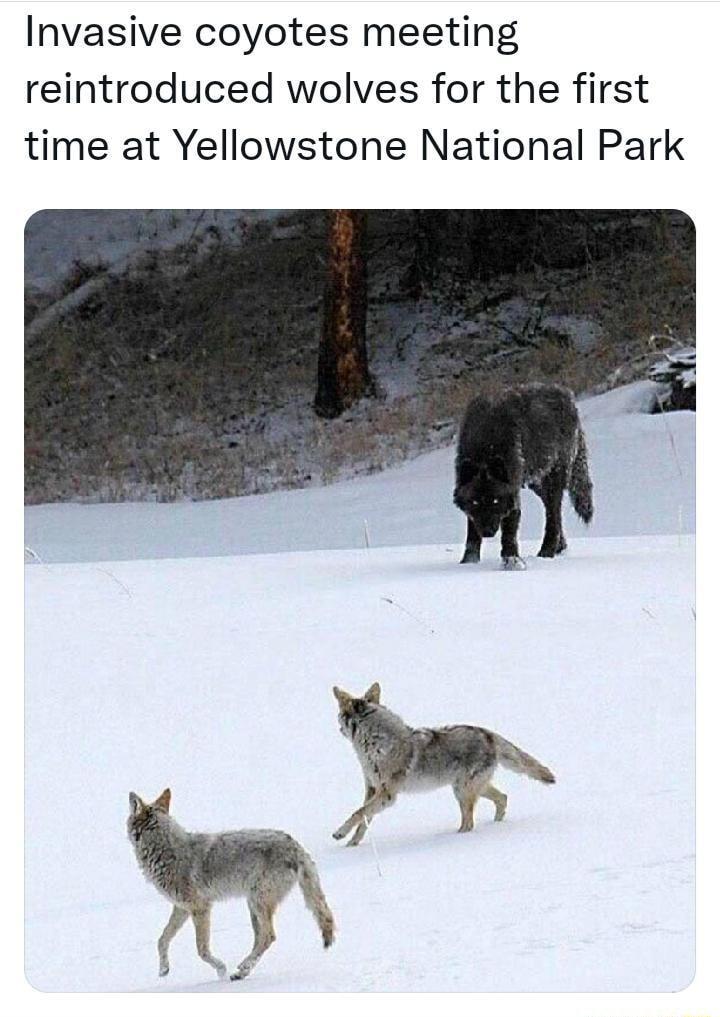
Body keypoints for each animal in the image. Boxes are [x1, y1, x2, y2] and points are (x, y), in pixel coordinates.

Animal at [127, 788, 334, 982]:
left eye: (133, 806)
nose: (130, 793)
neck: (165, 852)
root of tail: (296, 846)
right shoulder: (182, 909)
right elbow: (162, 939)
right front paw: (163, 969)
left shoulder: (201, 909)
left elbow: (202, 950)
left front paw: (221, 970)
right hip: (252, 907)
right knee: (261, 938)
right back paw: (242, 972)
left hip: (257, 903)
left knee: (269, 936)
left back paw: (242, 967)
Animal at [332, 684, 555, 846]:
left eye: (339, 716)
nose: (337, 729)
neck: (374, 745)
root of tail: (489, 734)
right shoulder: (372, 790)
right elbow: (363, 820)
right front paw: (352, 844)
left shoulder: (387, 795)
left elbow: (358, 813)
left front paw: (339, 833)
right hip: (469, 789)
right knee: (502, 798)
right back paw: (496, 825)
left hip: (463, 792)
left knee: (470, 822)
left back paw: (455, 837)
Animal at [453, 383, 593, 567]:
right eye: (475, 502)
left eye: (496, 501)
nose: (488, 532)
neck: (485, 445)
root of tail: (568, 395)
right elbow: (472, 532)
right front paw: (468, 562)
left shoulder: (512, 491)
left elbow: (509, 531)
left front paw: (511, 560)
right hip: (537, 484)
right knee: (553, 512)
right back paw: (559, 547)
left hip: (553, 480)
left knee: (553, 515)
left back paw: (547, 552)